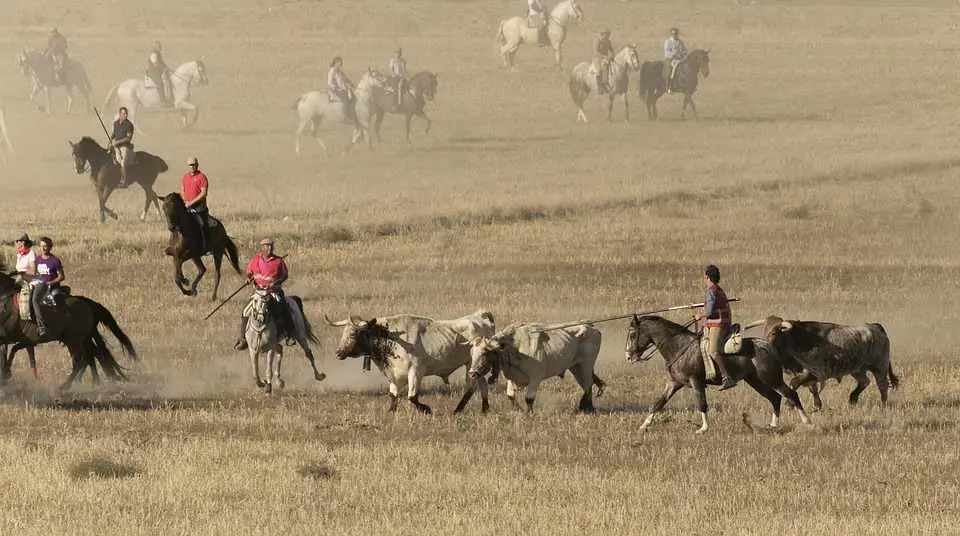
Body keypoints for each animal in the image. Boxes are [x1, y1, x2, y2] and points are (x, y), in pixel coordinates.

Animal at [326, 310, 498, 414]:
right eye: (344, 332)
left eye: (354, 333)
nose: (338, 353)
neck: (390, 337)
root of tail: (479, 317)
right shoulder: (393, 375)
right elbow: (393, 395)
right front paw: (391, 412)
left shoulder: (415, 372)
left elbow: (412, 397)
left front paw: (427, 409)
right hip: (475, 366)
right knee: (481, 385)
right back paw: (483, 409)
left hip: (471, 364)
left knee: (472, 387)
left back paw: (459, 409)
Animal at [624, 316, 808, 434]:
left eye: (633, 334)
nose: (628, 356)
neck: (679, 346)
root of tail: (768, 345)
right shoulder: (673, 384)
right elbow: (657, 404)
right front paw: (644, 426)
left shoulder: (696, 382)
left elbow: (702, 404)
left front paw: (703, 428)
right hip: (756, 381)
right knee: (775, 398)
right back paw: (772, 426)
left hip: (771, 379)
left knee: (790, 394)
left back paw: (808, 423)